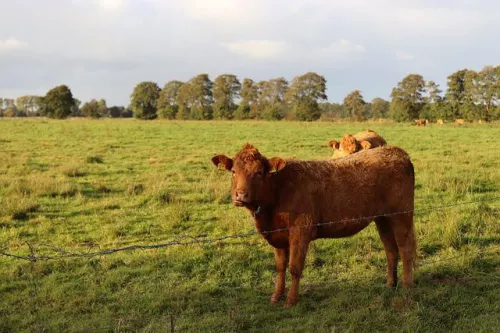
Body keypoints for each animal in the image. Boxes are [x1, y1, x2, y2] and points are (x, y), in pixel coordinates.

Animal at [209, 143, 416, 306]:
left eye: (259, 173)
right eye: (233, 171)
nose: (240, 195)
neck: (278, 190)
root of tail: (398, 152)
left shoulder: (301, 232)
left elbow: (294, 267)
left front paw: (291, 300)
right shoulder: (279, 236)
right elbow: (280, 267)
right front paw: (276, 296)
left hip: (402, 216)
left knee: (405, 249)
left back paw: (407, 286)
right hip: (383, 218)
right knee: (391, 250)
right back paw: (390, 284)